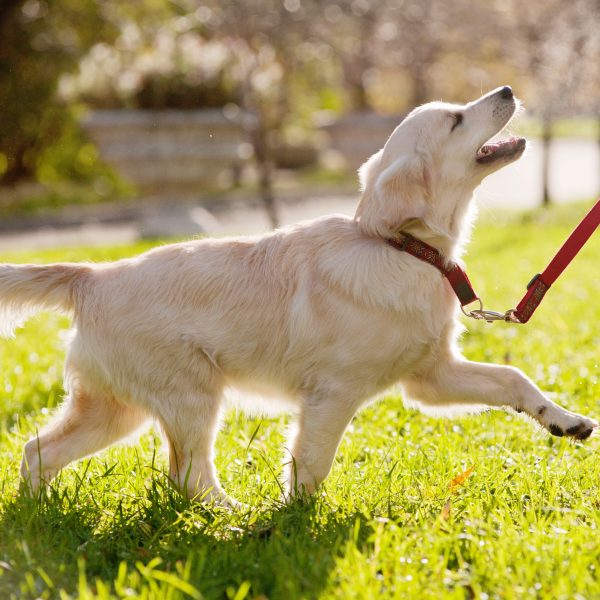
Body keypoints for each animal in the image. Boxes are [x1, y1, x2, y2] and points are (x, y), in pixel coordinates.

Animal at [2, 86, 596, 504]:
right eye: (455, 119)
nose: (507, 90)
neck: (401, 248)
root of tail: (91, 276)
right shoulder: (332, 393)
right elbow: (312, 463)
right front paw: (295, 525)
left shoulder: (430, 376)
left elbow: (512, 378)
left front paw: (563, 420)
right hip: (191, 395)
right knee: (189, 476)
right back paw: (236, 522)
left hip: (116, 407)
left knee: (37, 451)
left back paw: (38, 513)